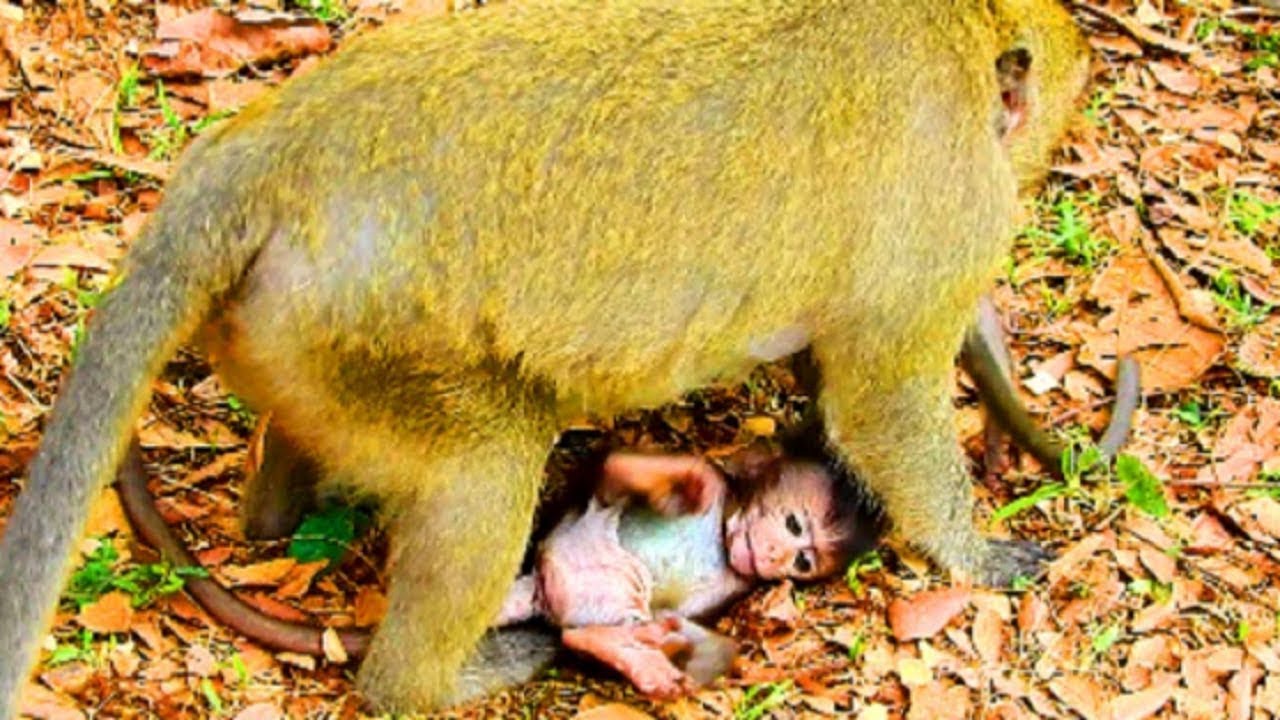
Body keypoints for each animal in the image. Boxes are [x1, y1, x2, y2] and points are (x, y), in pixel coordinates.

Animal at [0, 0, 1094, 715]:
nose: (1035, 162)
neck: (943, 30)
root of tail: (268, 149)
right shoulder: (952, 195)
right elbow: (879, 396)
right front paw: (972, 549)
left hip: (298, 338)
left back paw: (277, 508)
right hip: (377, 336)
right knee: (486, 472)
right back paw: (431, 678)